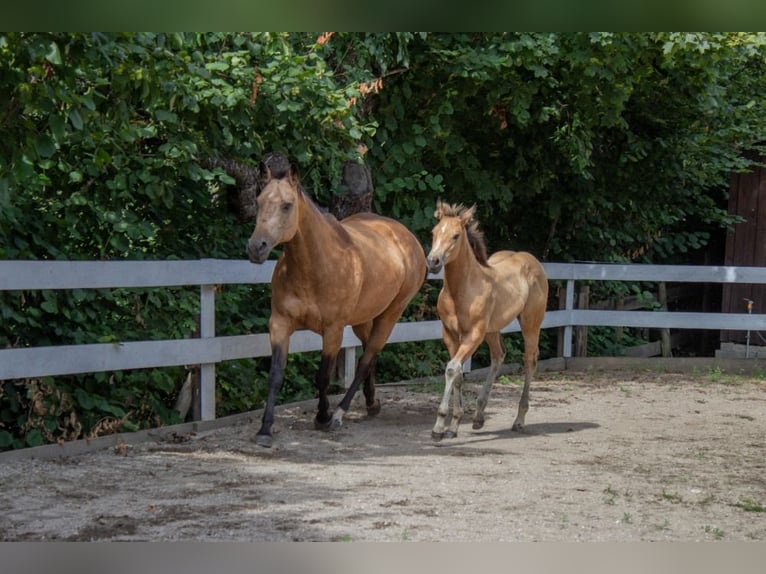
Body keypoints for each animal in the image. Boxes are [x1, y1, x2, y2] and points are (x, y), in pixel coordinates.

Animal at [248, 162, 426, 450]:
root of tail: (405, 236)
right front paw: (265, 429)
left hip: (391, 314)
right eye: (259, 200)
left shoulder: (333, 330)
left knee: (366, 359)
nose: (256, 248)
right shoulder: (280, 324)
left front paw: (322, 417)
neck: (315, 266)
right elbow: (275, 374)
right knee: (369, 356)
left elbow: (323, 376)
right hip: (364, 318)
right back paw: (371, 403)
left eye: (287, 205)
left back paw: (339, 414)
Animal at [426, 200, 552, 444]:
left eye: (456, 235)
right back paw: (479, 416)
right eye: (434, 232)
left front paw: (439, 427)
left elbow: (452, 369)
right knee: (498, 355)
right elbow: (457, 374)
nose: (433, 262)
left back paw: (519, 420)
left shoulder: (473, 334)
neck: (461, 290)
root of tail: (532, 261)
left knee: (529, 360)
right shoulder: (450, 334)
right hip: (493, 330)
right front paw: (453, 426)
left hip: (530, 323)